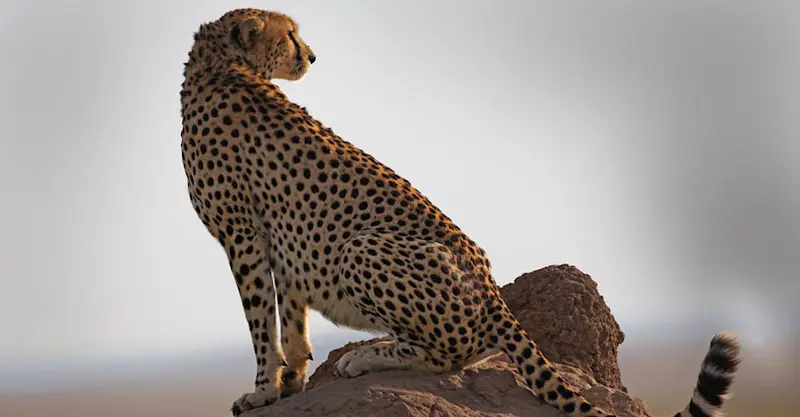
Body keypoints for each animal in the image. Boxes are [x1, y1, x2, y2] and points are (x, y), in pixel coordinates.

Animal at [179, 8, 741, 417]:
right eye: (291, 35)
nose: (312, 56)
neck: (218, 64)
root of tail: (492, 290)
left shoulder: (244, 236)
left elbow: (261, 323)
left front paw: (262, 391)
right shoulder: (271, 234)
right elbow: (288, 319)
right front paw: (291, 382)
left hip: (361, 249)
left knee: (446, 357)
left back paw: (365, 356)